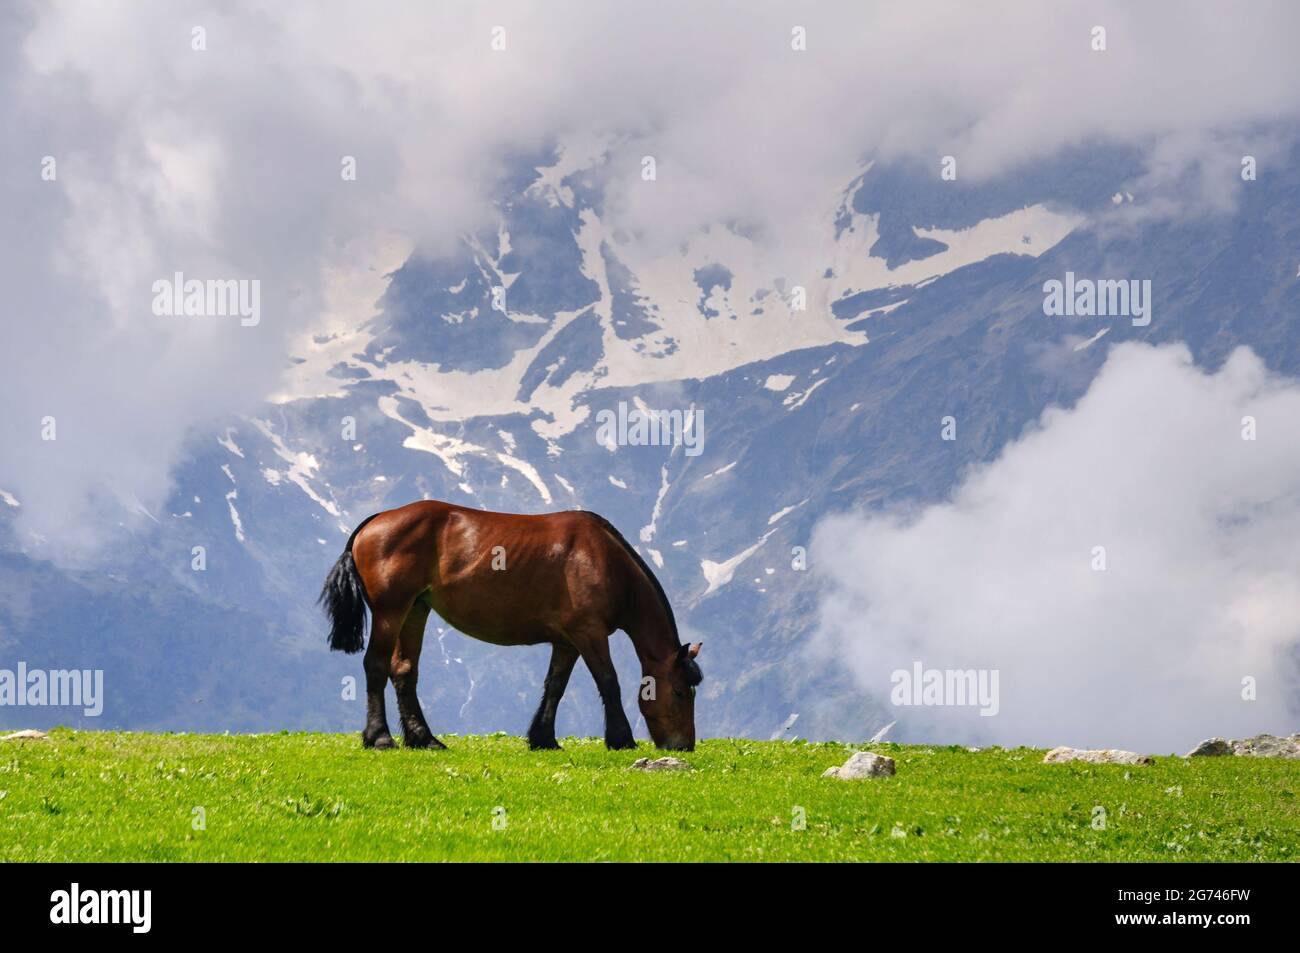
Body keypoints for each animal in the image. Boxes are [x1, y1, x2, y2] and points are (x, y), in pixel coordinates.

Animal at [317, 499, 702, 748]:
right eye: (680, 692)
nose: (683, 746)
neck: (603, 560)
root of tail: (376, 520)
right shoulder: (589, 633)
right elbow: (609, 682)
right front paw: (621, 739)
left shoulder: (567, 641)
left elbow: (555, 686)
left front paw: (543, 738)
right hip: (390, 611)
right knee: (376, 665)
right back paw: (380, 737)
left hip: (414, 610)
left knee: (403, 670)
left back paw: (424, 739)